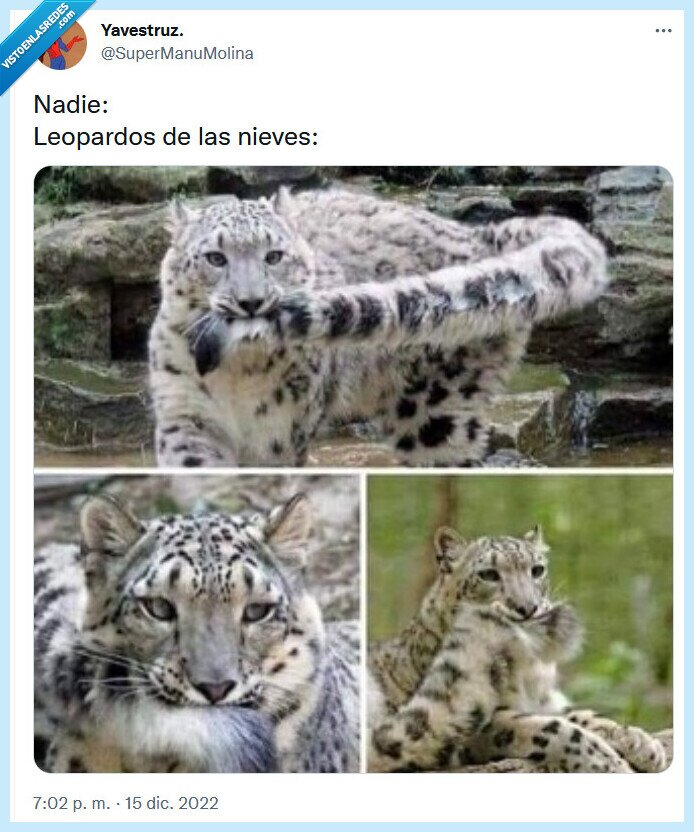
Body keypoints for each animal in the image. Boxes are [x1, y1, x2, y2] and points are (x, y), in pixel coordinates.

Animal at [149, 186, 609, 467]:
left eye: (274, 255)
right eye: (215, 258)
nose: (250, 302)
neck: (237, 372)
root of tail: (477, 234)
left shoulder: (280, 431)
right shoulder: (185, 412)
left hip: (434, 411)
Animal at [368, 526, 668, 773]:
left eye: (537, 569)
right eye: (488, 574)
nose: (528, 607)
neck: (529, 668)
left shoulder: (548, 701)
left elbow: (583, 715)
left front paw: (641, 742)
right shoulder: (482, 724)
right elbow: (550, 727)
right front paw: (607, 762)